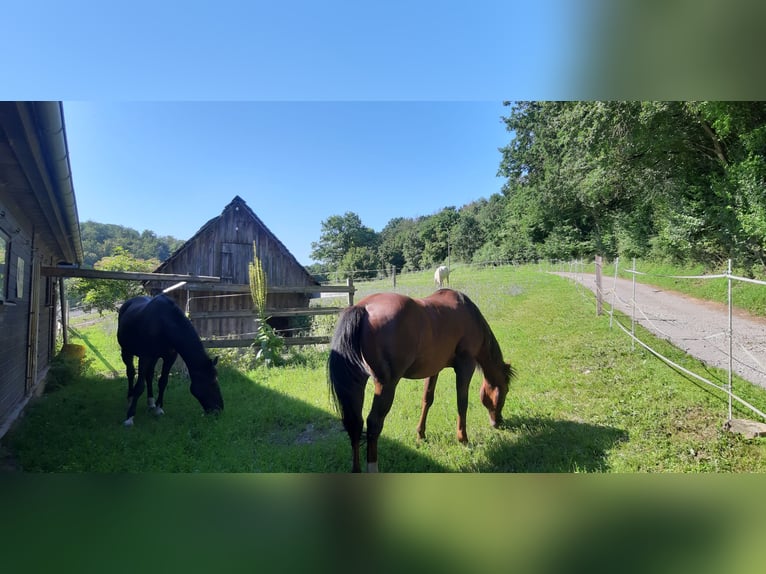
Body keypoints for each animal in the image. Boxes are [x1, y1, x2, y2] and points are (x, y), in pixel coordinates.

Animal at [117, 296, 224, 428]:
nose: (219, 409)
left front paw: (158, 409)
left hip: (154, 358)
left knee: (149, 375)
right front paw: (130, 417)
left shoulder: (169, 357)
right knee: (131, 373)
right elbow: (139, 386)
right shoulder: (145, 357)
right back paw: (130, 398)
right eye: (212, 383)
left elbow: (163, 382)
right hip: (127, 351)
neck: (164, 324)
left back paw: (151, 402)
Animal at [328, 290, 516, 474]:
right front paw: (463, 439)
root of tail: (363, 308)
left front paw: (421, 434)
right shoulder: (465, 365)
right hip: (386, 385)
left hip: (356, 385)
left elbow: (427, 399)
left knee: (355, 423)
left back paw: (356, 469)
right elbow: (462, 403)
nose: (498, 422)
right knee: (373, 423)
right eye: (504, 391)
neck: (469, 313)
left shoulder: (434, 369)